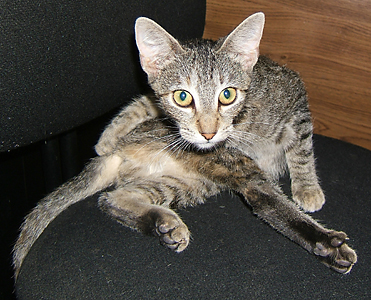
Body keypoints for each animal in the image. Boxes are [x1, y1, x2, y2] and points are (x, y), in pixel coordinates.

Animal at [13, 12, 358, 278]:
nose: (208, 134)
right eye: (182, 97)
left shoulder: (296, 101)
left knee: (113, 198)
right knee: (266, 202)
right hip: (223, 171)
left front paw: (307, 187)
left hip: (191, 183)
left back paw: (162, 221)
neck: (245, 123)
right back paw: (326, 244)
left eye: (227, 94)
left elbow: (301, 150)